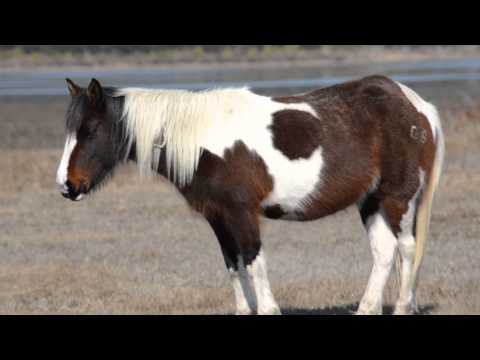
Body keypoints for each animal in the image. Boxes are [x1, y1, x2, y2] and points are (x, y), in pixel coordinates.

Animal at [57, 76, 446, 316]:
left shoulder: (242, 212)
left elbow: (255, 261)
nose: (66, 185)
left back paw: (402, 306)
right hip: (372, 200)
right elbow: (233, 264)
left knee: (405, 249)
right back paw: (367, 308)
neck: (204, 141)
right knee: (384, 252)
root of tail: (415, 104)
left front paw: (269, 308)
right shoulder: (218, 216)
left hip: (397, 198)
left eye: (91, 130)